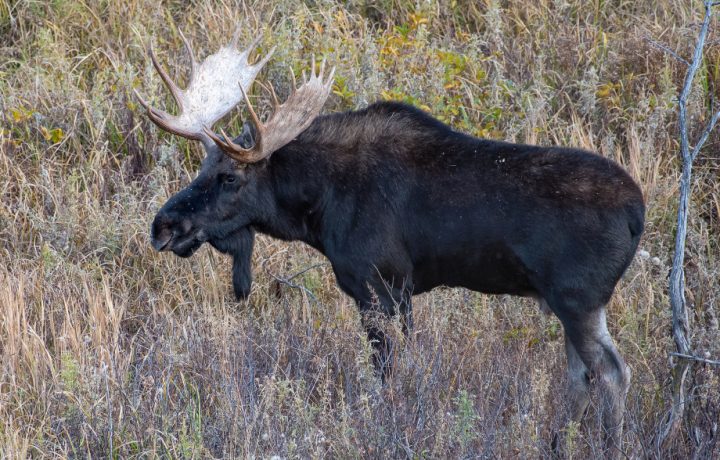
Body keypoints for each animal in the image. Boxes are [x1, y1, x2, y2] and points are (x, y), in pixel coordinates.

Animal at [136, 29, 648, 456]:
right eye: (202, 169)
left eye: (229, 177)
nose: (163, 226)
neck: (318, 205)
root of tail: (637, 214)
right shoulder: (398, 292)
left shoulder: (380, 285)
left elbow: (386, 376)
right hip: (566, 303)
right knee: (580, 376)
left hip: (578, 298)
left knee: (611, 372)